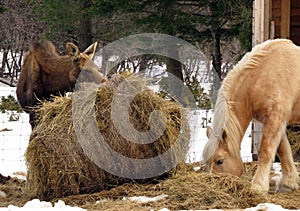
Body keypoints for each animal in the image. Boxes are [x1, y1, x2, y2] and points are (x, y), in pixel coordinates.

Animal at [204, 38, 300, 192]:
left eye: (219, 161)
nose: (214, 186)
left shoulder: (275, 119)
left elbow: (265, 151)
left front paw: (258, 186)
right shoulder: (277, 121)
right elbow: (283, 150)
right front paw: (288, 183)